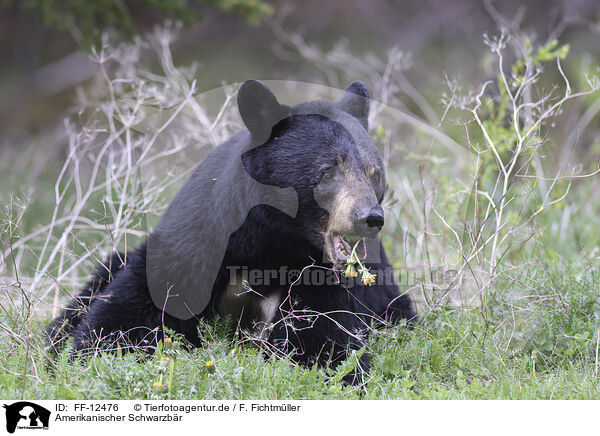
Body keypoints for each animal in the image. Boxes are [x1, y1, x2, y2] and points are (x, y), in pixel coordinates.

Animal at [47, 80, 414, 384]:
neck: (275, 240)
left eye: (374, 174)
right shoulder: (200, 236)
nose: (369, 218)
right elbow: (134, 308)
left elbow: (323, 336)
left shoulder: (323, 275)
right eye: (328, 171)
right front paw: (91, 354)